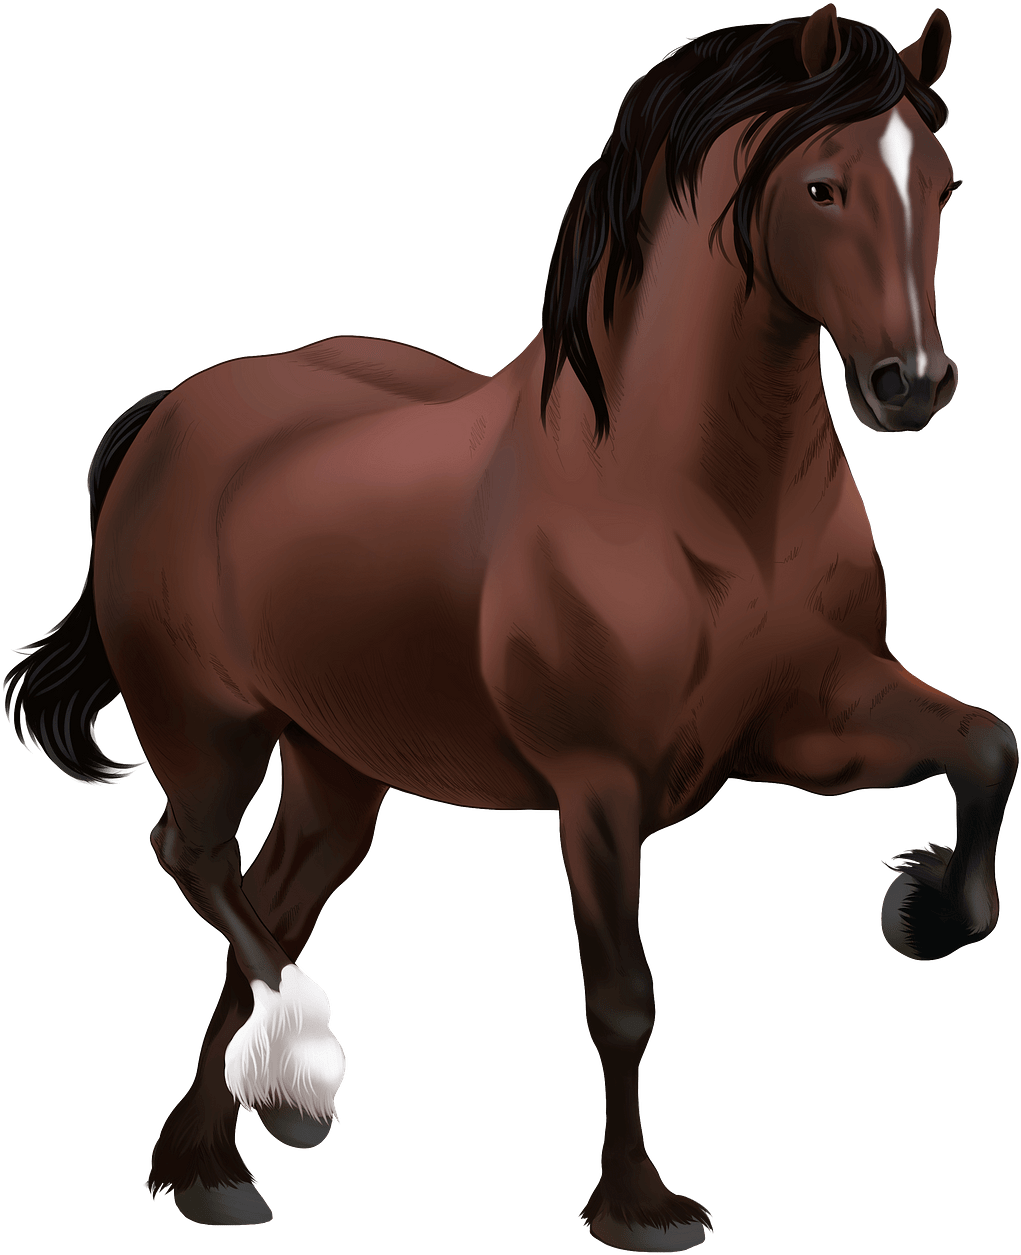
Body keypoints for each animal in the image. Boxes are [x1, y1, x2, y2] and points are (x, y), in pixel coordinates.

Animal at [5, 6, 1015, 1249]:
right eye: (822, 187)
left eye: (945, 185)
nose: (910, 383)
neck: (685, 496)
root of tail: (170, 418)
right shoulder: (597, 782)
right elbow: (622, 997)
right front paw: (640, 1209)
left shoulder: (809, 717)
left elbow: (984, 745)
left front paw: (921, 905)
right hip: (204, 726)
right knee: (190, 857)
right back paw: (294, 1075)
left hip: (338, 767)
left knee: (271, 897)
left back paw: (215, 1165)